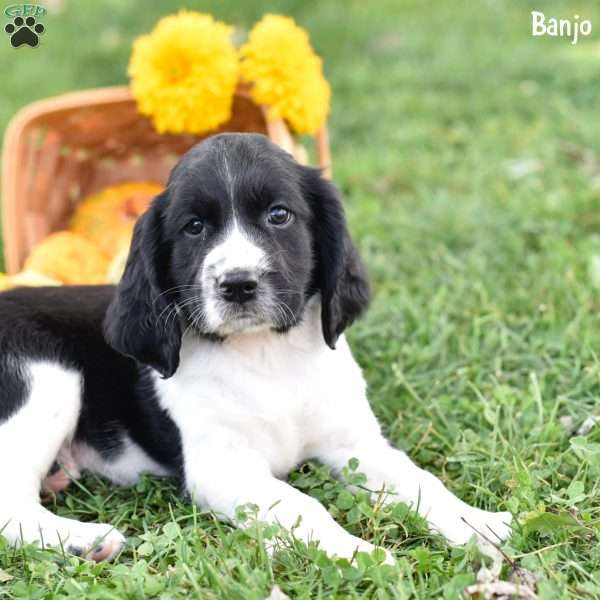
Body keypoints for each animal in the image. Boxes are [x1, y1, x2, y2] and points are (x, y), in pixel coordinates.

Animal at [0, 135, 510, 564]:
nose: (237, 284)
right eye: (194, 227)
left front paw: (476, 523)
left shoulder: (354, 441)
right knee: (10, 506)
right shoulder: (223, 466)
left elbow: (419, 479)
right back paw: (85, 540)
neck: (266, 355)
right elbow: (303, 504)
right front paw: (359, 553)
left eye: (278, 215)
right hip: (46, 379)